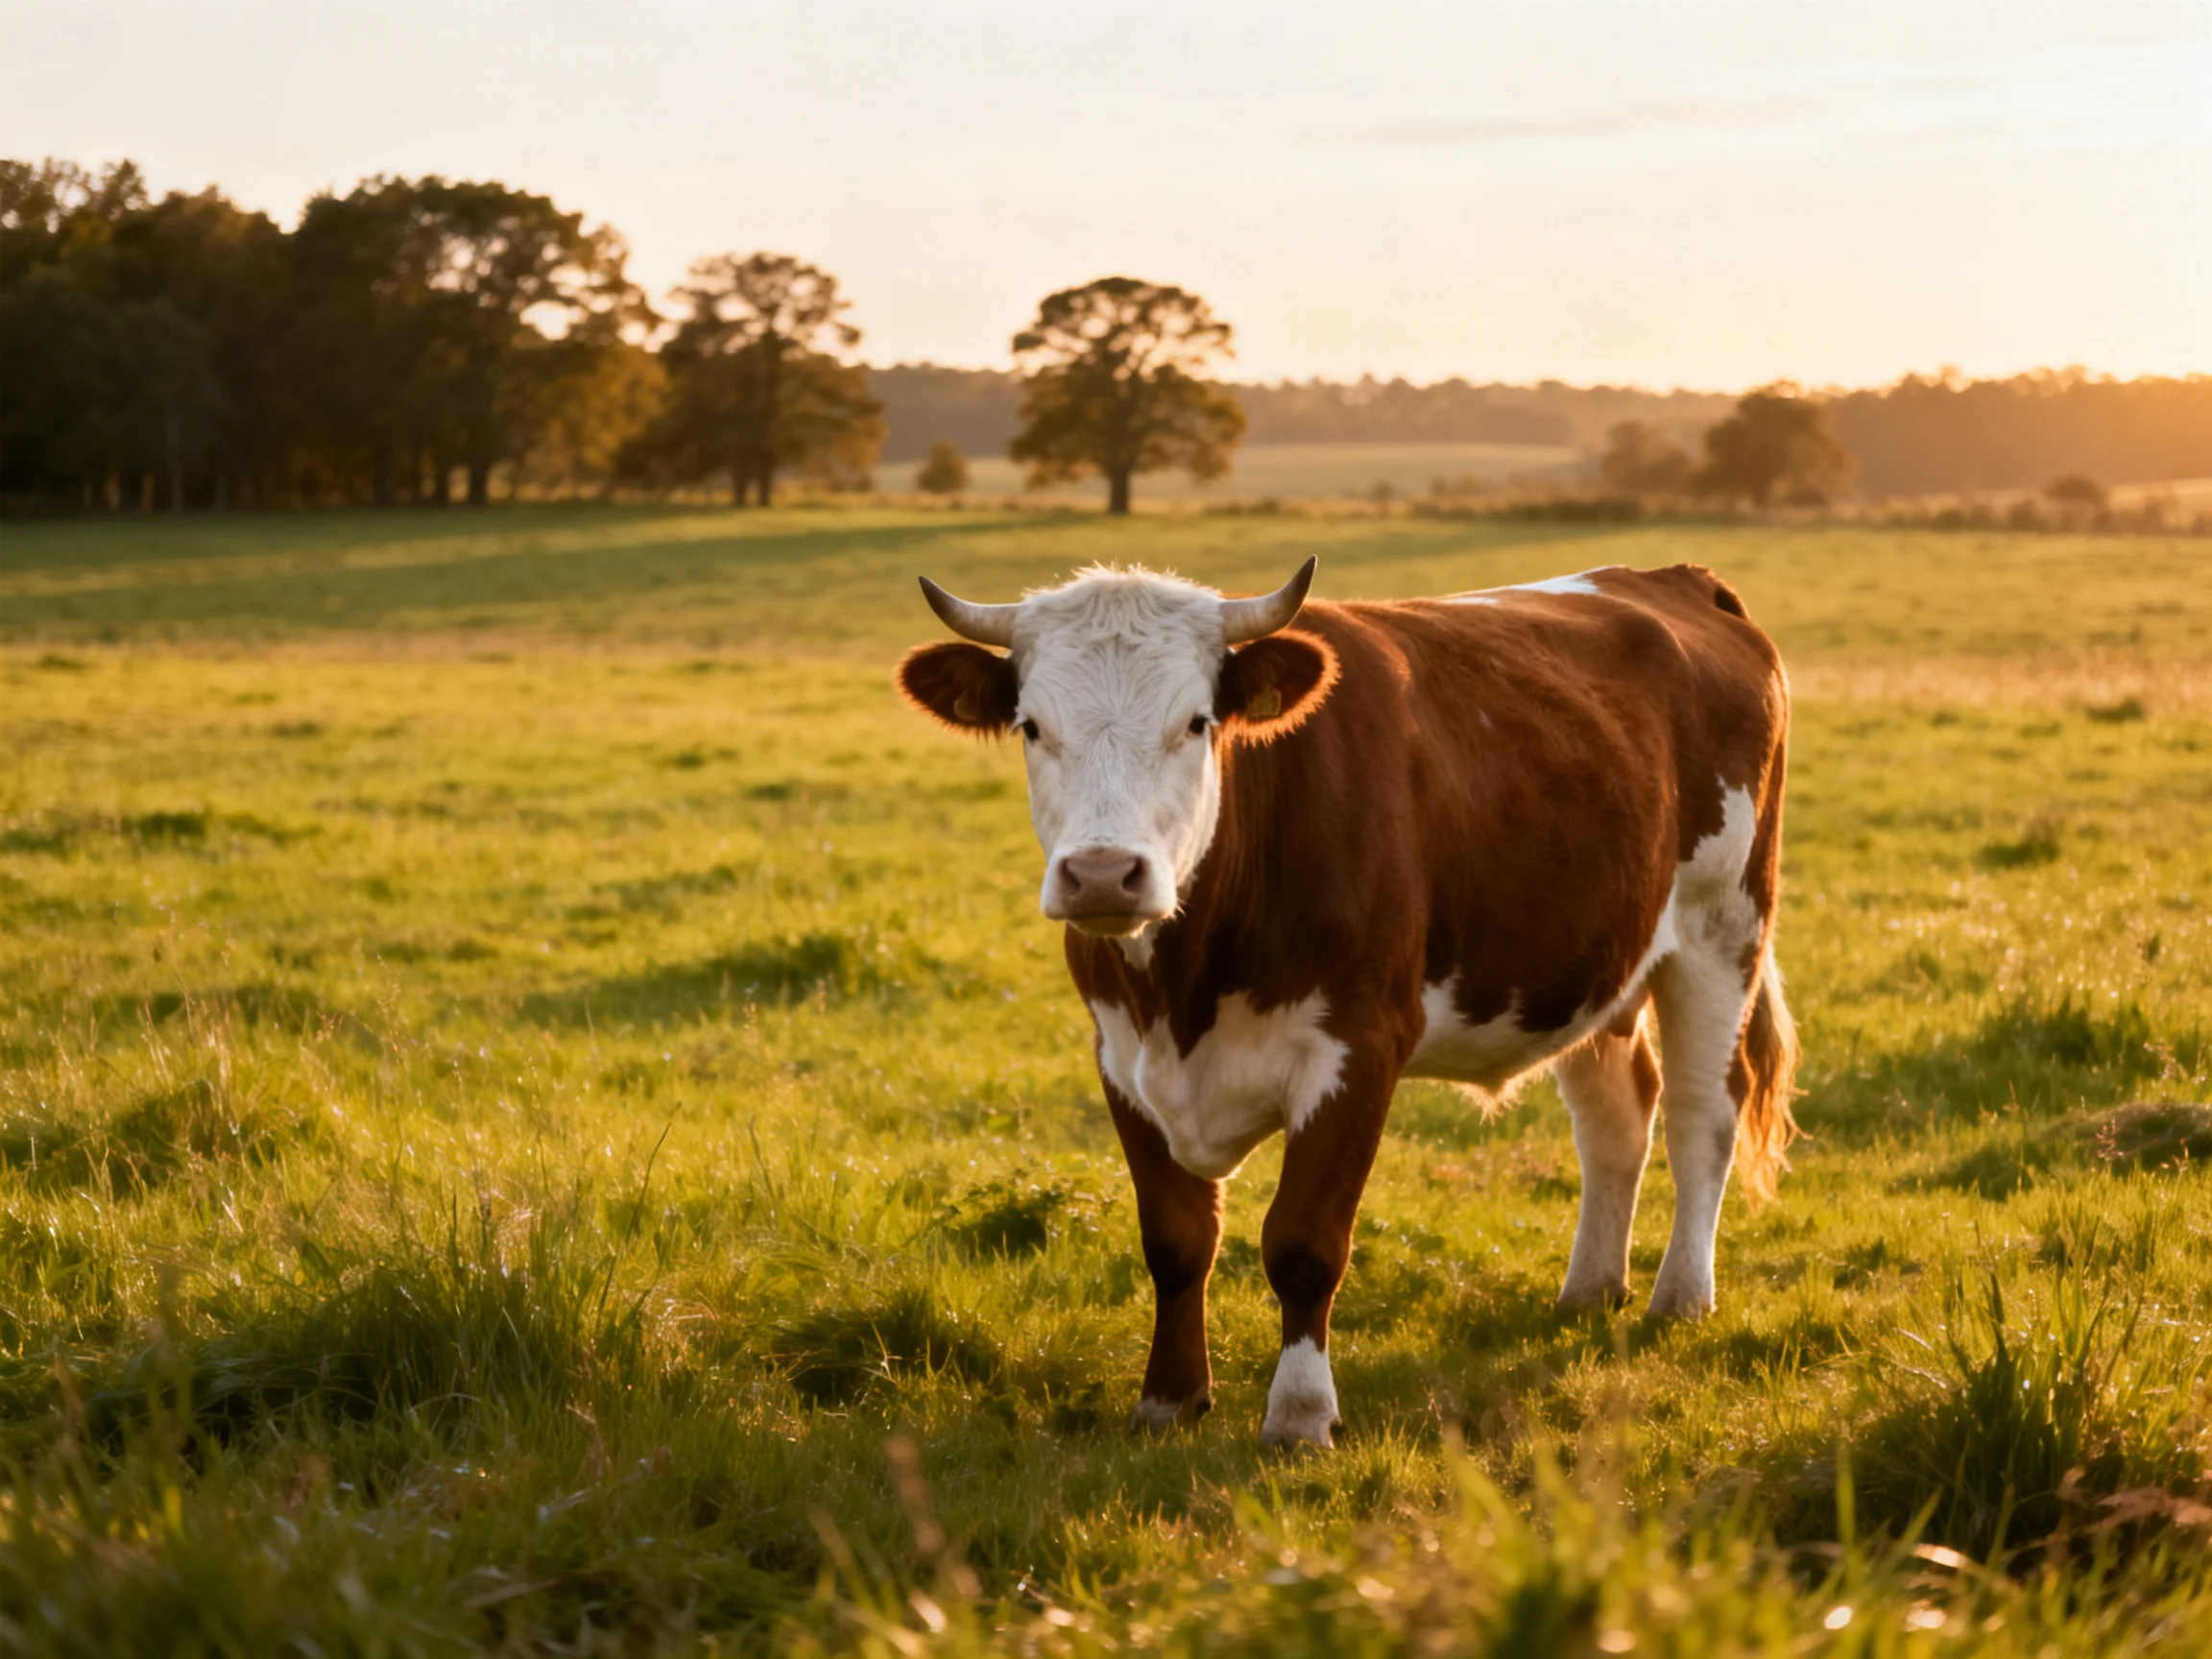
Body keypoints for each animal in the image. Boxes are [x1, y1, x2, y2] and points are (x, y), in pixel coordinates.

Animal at [895, 558, 1798, 1448]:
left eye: (1196, 723)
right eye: (1031, 727)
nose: (1104, 875)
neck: (1182, 991)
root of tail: (1672, 578)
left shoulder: (1361, 1047)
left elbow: (1303, 1242)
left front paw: (1299, 1414)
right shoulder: (1120, 1054)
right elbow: (1176, 1238)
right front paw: (1170, 1399)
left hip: (1723, 929)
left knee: (1700, 1115)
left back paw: (1679, 1299)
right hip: (1591, 962)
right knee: (1616, 1118)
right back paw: (1589, 1290)